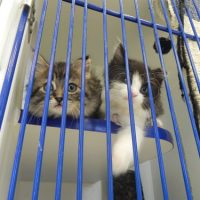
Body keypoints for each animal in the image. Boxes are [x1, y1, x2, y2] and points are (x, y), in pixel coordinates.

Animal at [101, 43, 163, 176]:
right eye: (125, 80)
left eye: (144, 89)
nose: (133, 94)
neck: (125, 109)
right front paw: (114, 117)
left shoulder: (139, 119)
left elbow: (134, 131)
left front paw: (118, 160)